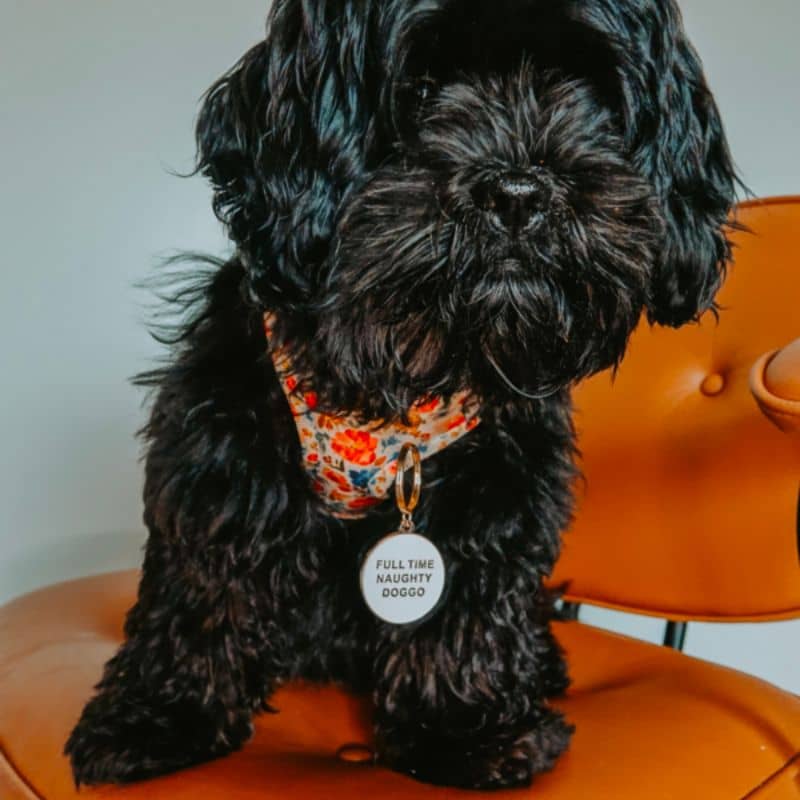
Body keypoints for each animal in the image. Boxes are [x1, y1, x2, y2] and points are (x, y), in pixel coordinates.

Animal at [65, 0, 736, 788]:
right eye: (419, 89)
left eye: (590, 91)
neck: (404, 371)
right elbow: (207, 583)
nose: (519, 192)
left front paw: (467, 732)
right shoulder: (223, 454)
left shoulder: (497, 489)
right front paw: (159, 717)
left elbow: (465, 606)